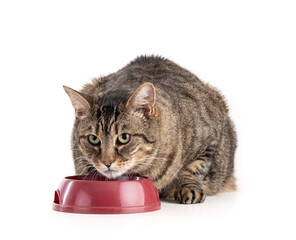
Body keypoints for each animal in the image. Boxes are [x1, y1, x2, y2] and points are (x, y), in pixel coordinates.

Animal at [63, 55, 237, 203]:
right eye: (93, 138)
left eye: (124, 137)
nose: (107, 162)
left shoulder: (211, 138)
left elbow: (195, 167)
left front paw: (189, 188)